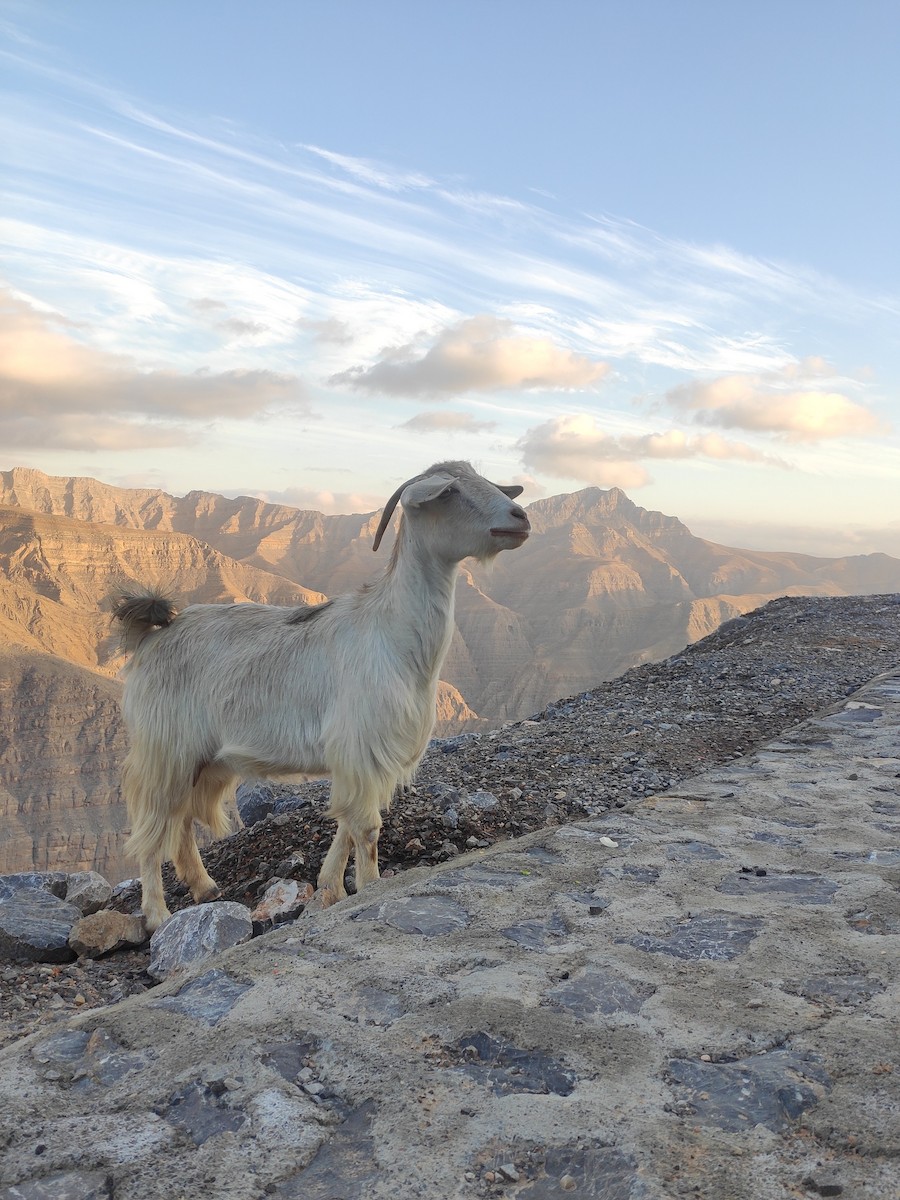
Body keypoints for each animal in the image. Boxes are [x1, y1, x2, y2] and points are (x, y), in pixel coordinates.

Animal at [113, 461, 530, 931]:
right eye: (451, 492)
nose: (520, 518)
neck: (392, 634)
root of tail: (151, 637)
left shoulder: (362, 758)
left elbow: (347, 823)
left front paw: (331, 885)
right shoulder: (363, 745)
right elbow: (366, 827)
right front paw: (369, 885)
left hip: (204, 760)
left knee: (180, 821)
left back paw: (206, 888)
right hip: (164, 751)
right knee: (151, 829)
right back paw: (157, 914)